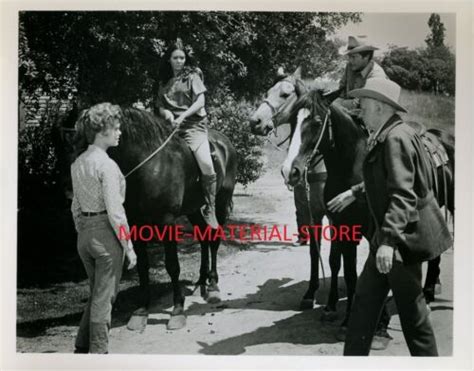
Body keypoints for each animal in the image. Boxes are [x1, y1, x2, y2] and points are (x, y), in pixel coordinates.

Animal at [76, 107, 239, 332]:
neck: (151, 165)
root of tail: (224, 142)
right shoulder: (135, 223)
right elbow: (143, 267)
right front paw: (141, 311)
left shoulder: (167, 221)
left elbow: (172, 265)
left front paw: (177, 310)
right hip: (193, 209)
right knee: (203, 237)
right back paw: (201, 282)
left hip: (221, 203)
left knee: (214, 239)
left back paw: (213, 286)